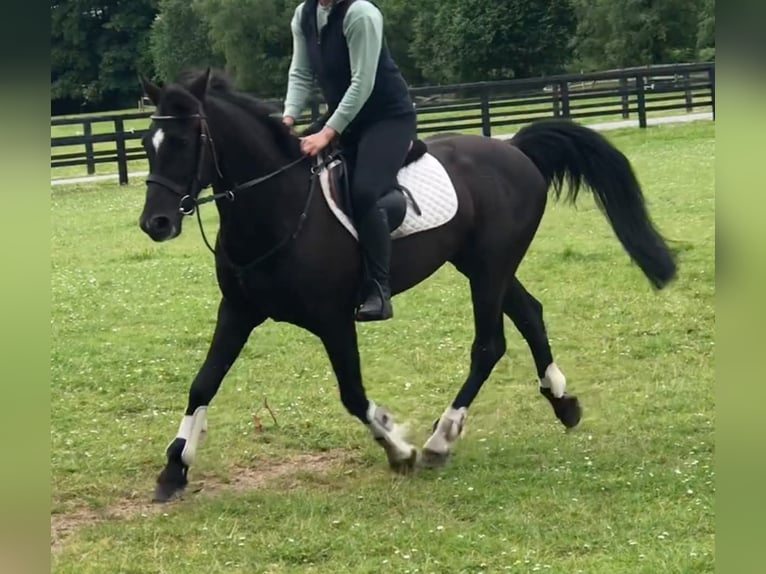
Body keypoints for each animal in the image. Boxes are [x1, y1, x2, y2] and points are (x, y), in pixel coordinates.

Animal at [136, 68, 676, 502]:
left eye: (184, 142)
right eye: (147, 144)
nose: (155, 223)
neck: (279, 206)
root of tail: (513, 150)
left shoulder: (334, 320)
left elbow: (353, 394)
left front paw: (399, 448)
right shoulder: (238, 311)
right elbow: (203, 382)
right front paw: (174, 469)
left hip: (489, 269)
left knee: (489, 344)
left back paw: (442, 439)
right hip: (483, 265)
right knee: (529, 313)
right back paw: (562, 402)